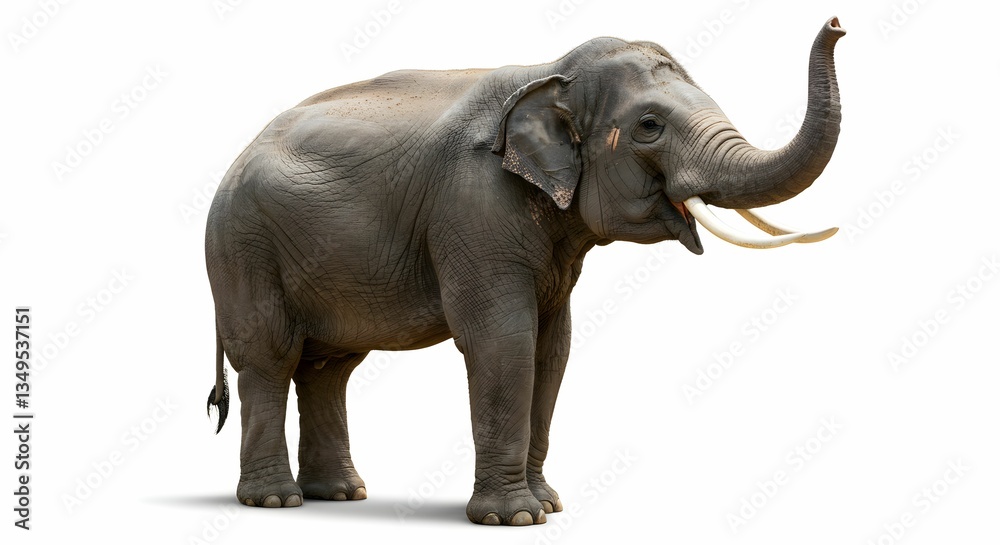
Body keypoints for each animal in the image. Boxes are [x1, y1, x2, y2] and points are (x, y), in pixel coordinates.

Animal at [205, 17, 846, 525]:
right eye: (649, 126)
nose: (838, 23)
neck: (550, 73)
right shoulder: (474, 207)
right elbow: (502, 341)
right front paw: (513, 518)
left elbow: (551, 347)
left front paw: (549, 506)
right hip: (242, 248)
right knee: (270, 357)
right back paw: (275, 502)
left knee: (328, 368)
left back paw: (339, 496)